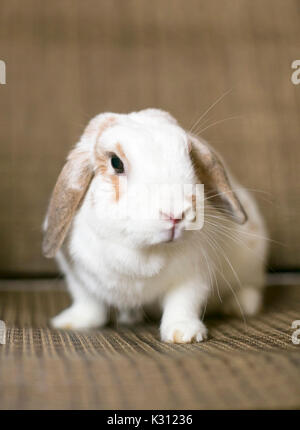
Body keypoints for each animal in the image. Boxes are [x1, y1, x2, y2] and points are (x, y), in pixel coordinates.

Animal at [41, 109, 268, 344]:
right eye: (116, 163)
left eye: (191, 158)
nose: (176, 214)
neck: (142, 251)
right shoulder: (77, 275)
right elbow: (89, 303)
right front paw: (71, 322)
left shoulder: (194, 275)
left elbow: (183, 302)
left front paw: (184, 334)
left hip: (252, 263)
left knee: (252, 287)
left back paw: (241, 306)